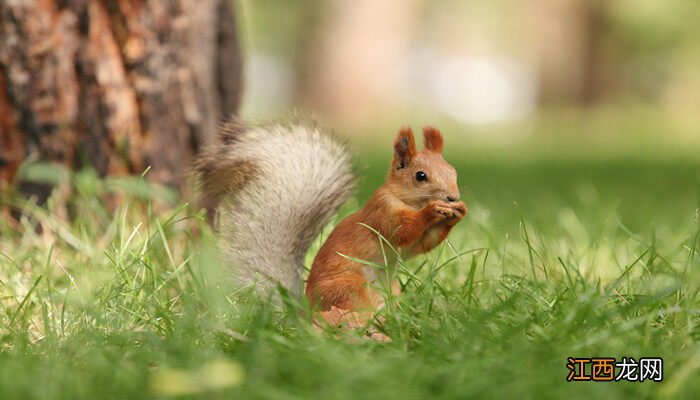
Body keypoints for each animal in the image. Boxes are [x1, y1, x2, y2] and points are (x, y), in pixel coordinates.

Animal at [196, 119, 464, 338]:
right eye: (420, 176)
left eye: (453, 171)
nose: (453, 197)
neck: (406, 199)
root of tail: (305, 310)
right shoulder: (382, 212)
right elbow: (403, 230)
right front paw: (432, 210)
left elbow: (421, 244)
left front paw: (457, 214)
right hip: (348, 289)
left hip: (391, 291)